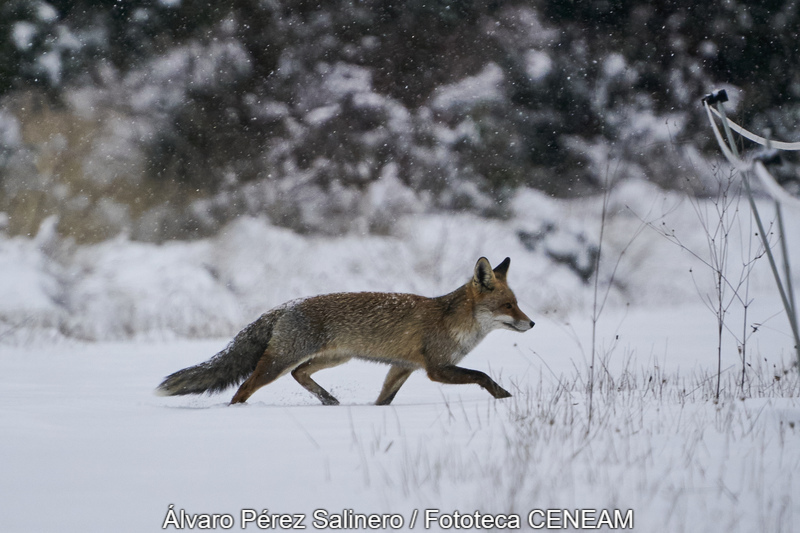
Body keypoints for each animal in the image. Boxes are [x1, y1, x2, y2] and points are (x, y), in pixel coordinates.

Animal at [155, 256, 532, 404]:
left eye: (517, 303)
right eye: (507, 306)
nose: (531, 323)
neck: (451, 321)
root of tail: (285, 305)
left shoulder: (402, 368)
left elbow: (384, 400)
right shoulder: (436, 369)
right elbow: (482, 375)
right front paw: (506, 398)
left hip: (334, 359)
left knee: (301, 375)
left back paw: (329, 400)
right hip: (279, 363)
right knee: (242, 389)